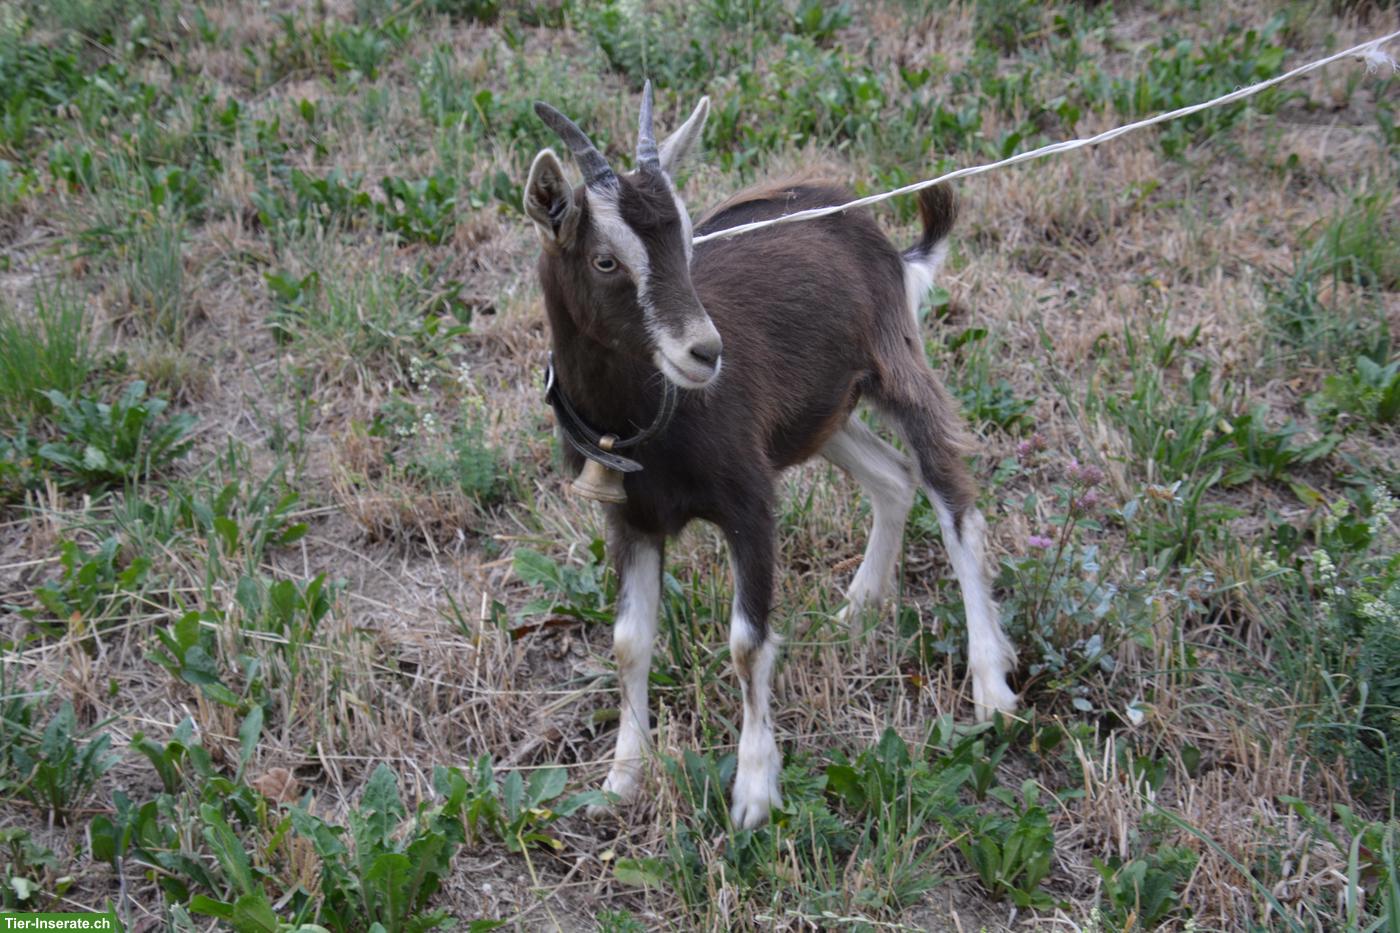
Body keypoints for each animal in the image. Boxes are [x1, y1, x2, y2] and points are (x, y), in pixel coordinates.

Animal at [523, 85, 1018, 828]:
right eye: (604, 259)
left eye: (686, 240)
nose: (705, 351)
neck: (650, 416)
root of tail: (876, 233)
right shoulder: (629, 519)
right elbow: (629, 641)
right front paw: (622, 777)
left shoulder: (750, 501)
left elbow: (746, 642)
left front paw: (755, 793)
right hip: (822, 414)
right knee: (893, 480)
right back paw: (859, 606)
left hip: (896, 365)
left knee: (953, 497)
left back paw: (991, 686)